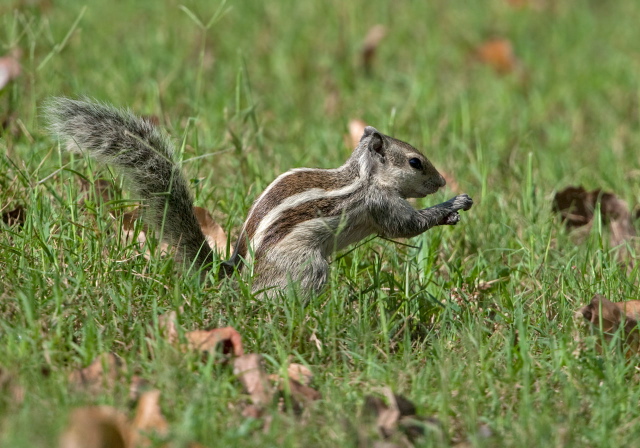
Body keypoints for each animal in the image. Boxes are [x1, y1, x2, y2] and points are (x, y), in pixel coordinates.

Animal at [45, 96, 472, 296]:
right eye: (416, 162)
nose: (441, 182)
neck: (364, 176)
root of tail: (236, 271)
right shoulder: (381, 205)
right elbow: (407, 226)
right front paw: (451, 207)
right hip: (306, 265)